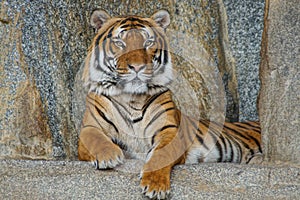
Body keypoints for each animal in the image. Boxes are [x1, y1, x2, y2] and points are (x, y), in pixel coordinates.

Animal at [78, 9, 262, 200]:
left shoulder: (169, 131)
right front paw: (109, 156)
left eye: (148, 42)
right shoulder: (89, 126)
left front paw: (155, 185)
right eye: (119, 43)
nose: (137, 67)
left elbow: (161, 154)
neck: (131, 98)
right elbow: (95, 138)